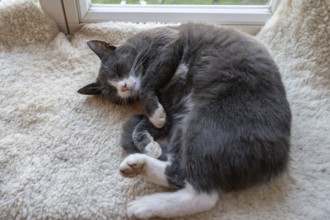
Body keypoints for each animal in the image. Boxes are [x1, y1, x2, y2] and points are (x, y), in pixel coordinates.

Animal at [78, 23, 292, 219]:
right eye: (111, 91)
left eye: (117, 70)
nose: (122, 87)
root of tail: (277, 160)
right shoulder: (169, 109)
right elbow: (147, 126)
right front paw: (150, 145)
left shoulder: (169, 45)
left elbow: (148, 81)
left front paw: (153, 117)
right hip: (184, 126)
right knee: (184, 176)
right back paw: (140, 173)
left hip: (204, 125)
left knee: (201, 191)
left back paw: (141, 194)